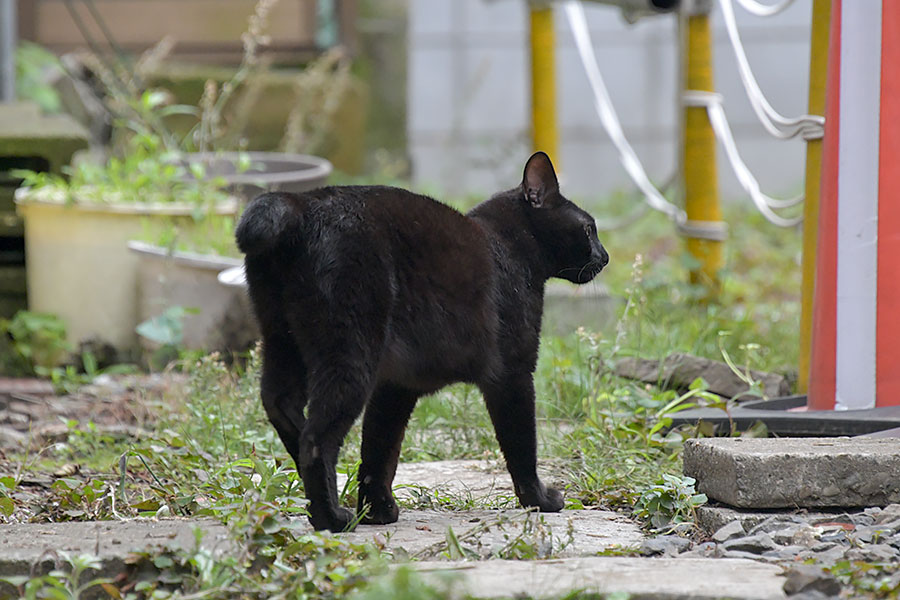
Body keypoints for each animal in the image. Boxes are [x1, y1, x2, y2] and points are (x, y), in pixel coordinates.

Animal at [236, 152, 608, 532]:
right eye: (589, 229)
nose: (604, 256)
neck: (509, 246)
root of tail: (302, 203)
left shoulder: (395, 386)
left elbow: (379, 451)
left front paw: (377, 510)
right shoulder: (513, 374)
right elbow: (522, 446)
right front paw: (540, 500)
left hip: (283, 340)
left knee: (281, 405)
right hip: (349, 354)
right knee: (316, 439)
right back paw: (332, 517)